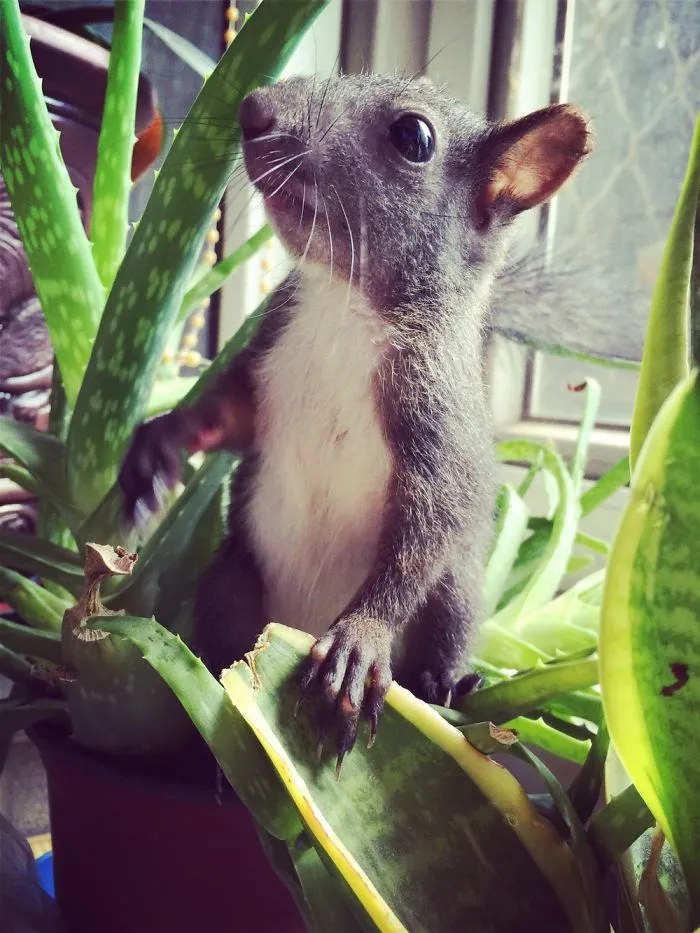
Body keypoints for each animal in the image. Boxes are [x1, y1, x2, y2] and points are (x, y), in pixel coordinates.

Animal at [118, 73, 592, 769]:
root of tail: (293, 630)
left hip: (455, 594)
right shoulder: (268, 359)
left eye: (414, 137)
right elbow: (227, 419)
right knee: (227, 635)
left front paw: (360, 638)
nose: (253, 109)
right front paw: (159, 446)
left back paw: (445, 685)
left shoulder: (436, 423)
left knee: (443, 617)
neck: (343, 305)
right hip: (233, 577)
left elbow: (422, 534)